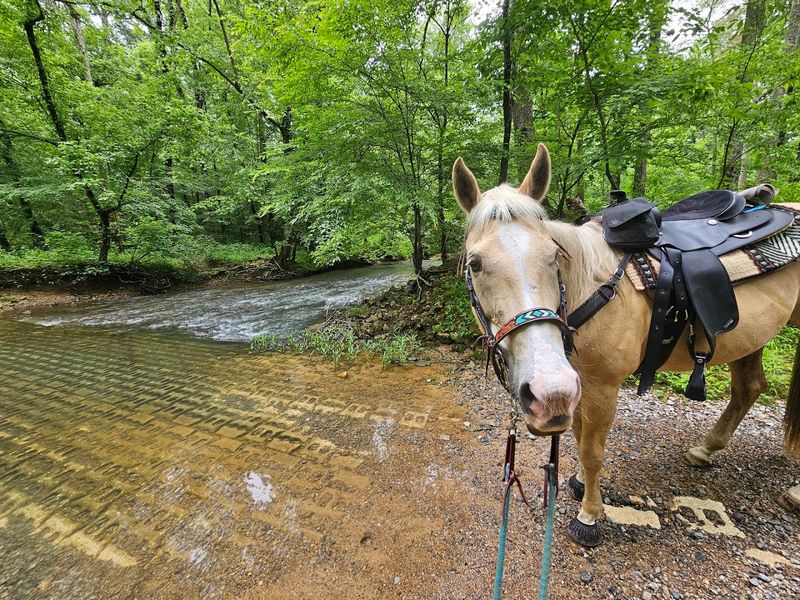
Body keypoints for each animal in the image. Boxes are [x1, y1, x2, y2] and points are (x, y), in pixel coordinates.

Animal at [452, 143, 800, 547]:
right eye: (475, 264)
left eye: (554, 256)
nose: (548, 393)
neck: (590, 291)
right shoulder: (580, 384)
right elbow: (579, 434)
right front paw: (579, 484)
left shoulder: (603, 387)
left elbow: (591, 450)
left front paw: (589, 516)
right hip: (750, 338)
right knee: (749, 388)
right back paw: (705, 449)